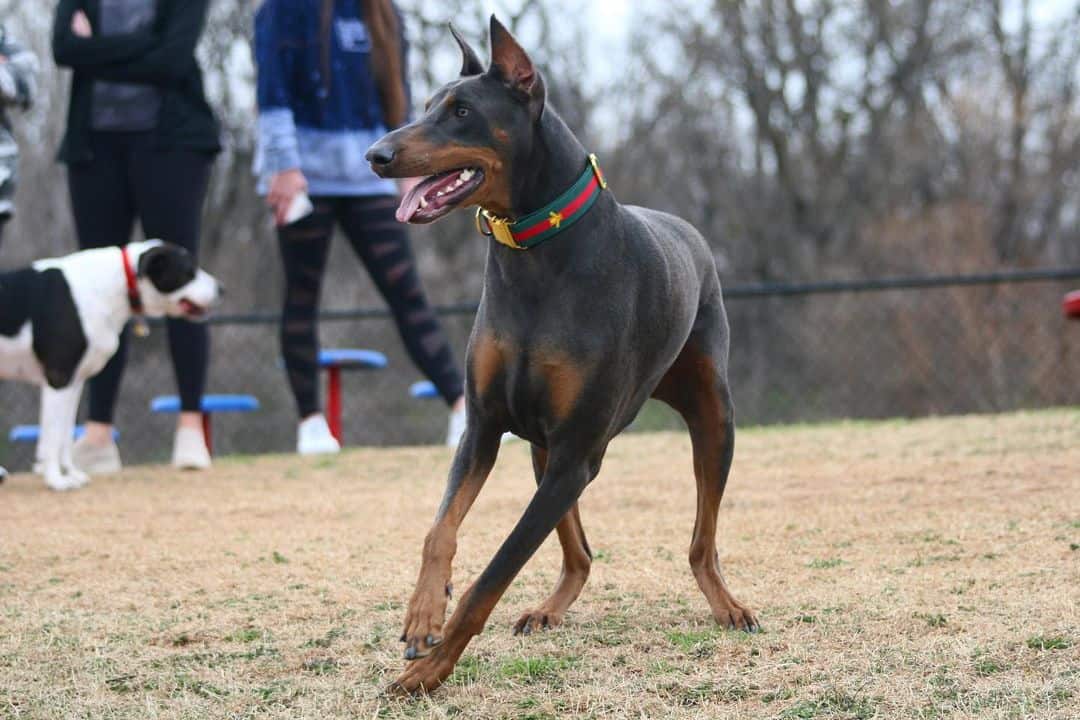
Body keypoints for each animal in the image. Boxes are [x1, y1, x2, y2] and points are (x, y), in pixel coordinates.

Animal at [0, 240, 219, 490]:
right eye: (189, 271)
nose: (221, 289)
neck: (115, 284)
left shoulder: (73, 384)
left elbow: (65, 434)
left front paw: (71, 474)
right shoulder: (59, 378)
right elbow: (52, 437)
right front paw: (56, 480)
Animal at [367, 15, 756, 690]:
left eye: (462, 111)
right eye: (426, 105)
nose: (376, 154)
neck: (533, 251)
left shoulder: (576, 452)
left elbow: (493, 574)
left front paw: (432, 670)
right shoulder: (486, 426)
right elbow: (440, 530)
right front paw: (423, 616)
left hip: (709, 418)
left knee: (701, 540)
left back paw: (726, 603)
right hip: (543, 448)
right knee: (580, 554)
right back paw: (549, 609)